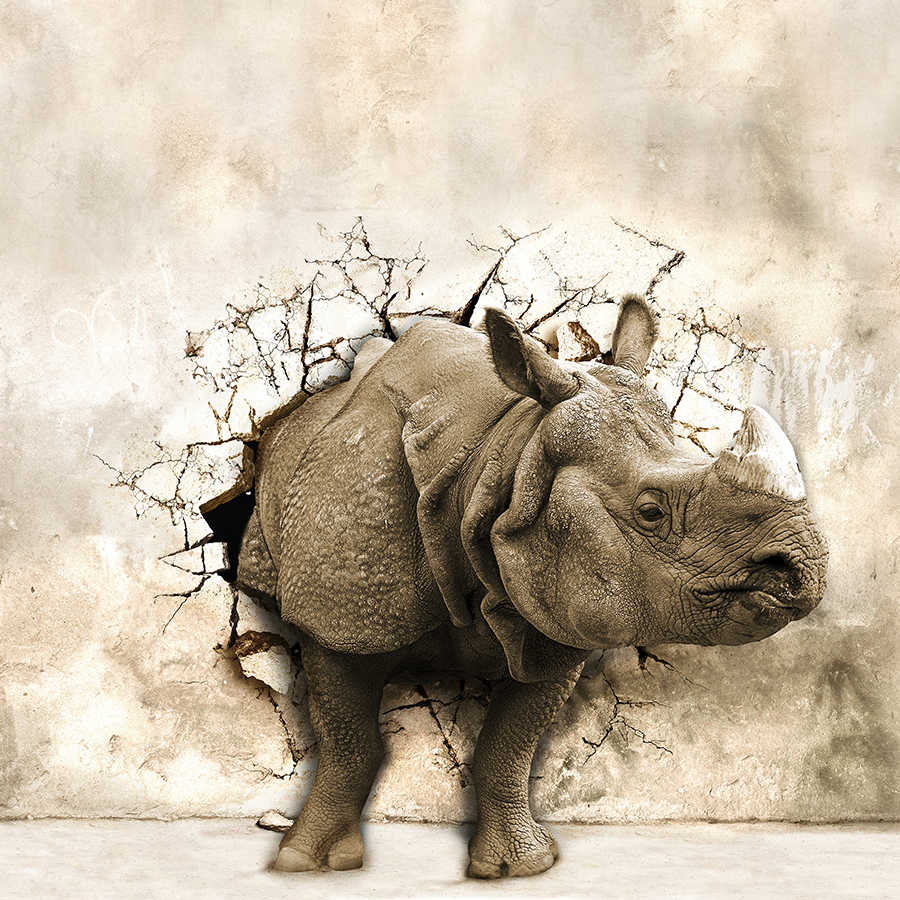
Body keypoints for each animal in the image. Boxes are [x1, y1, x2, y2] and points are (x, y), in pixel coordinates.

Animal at [202, 296, 827, 878]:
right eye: (651, 512)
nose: (801, 574)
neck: (502, 462)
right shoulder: (341, 615)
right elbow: (349, 743)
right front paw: (306, 862)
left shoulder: (552, 607)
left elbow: (508, 746)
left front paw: (519, 865)